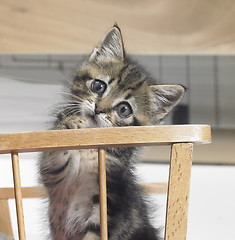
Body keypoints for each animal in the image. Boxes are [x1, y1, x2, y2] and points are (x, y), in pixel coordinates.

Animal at [39, 24, 185, 240]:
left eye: (124, 109)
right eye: (98, 86)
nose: (99, 108)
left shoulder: (110, 205)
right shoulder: (53, 174)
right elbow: (54, 153)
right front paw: (69, 121)